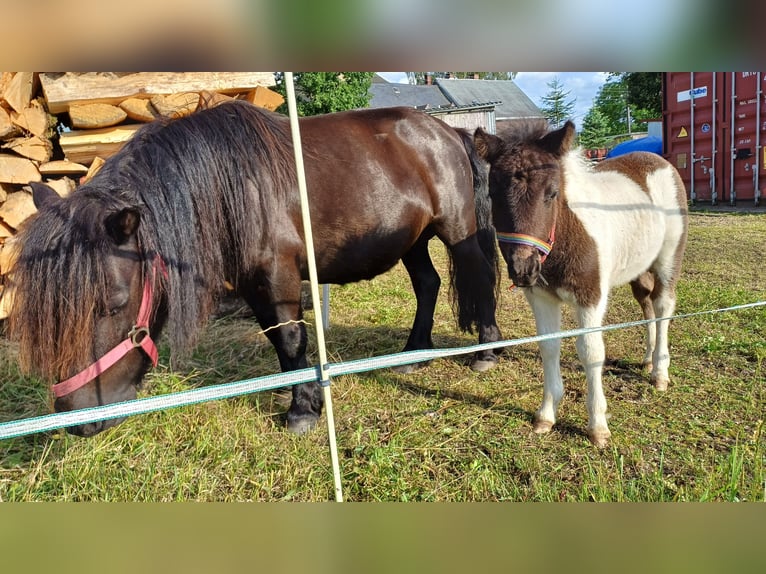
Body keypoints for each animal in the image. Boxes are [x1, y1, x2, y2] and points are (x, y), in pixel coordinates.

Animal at [9, 102, 508, 436]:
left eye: (113, 304)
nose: (76, 418)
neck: (230, 186)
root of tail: (448, 130)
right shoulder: (254, 283)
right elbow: (276, 338)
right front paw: (294, 390)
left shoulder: (278, 273)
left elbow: (291, 336)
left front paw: (303, 410)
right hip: (413, 239)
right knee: (428, 284)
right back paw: (413, 352)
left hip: (456, 230)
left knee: (479, 279)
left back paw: (486, 351)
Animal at [474, 120, 688, 446]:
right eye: (493, 195)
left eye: (552, 194)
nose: (523, 269)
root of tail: (658, 160)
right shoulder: (541, 297)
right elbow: (549, 347)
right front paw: (546, 415)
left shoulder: (590, 296)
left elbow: (591, 352)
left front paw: (597, 426)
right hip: (638, 267)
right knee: (646, 303)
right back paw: (648, 360)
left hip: (668, 257)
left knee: (663, 306)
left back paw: (660, 372)